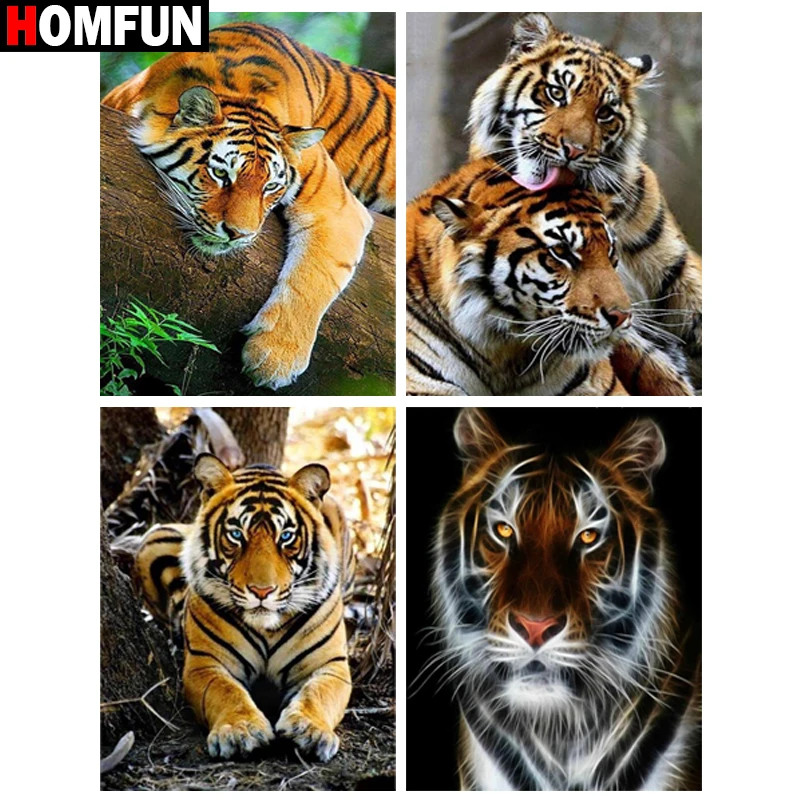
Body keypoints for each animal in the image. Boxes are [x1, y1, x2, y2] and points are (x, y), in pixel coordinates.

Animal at [102, 23, 396, 389]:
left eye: (270, 186)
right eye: (220, 174)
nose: (238, 234)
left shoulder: (337, 206)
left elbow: (313, 278)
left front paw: (275, 357)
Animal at [124, 454, 353, 762]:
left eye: (286, 537)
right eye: (235, 535)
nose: (262, 591)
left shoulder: (330, 665)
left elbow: (317, 694)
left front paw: (309, 730)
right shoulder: (206, 663)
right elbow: (226, 692)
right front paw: (240, 731)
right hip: (153, 537)